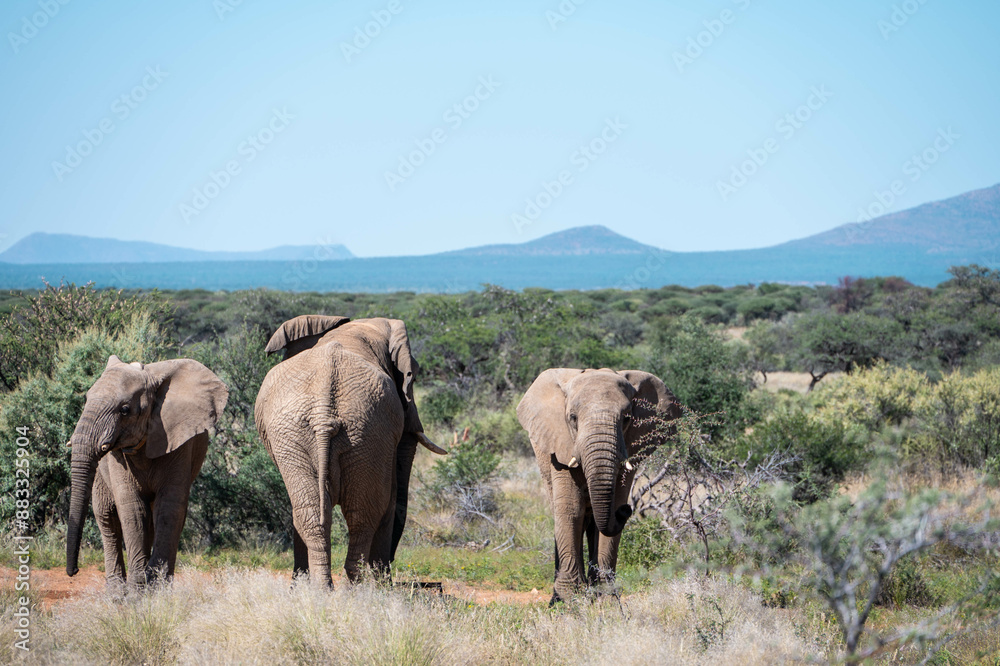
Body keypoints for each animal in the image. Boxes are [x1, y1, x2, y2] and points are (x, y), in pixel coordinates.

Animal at [65, 355, 228, 587]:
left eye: (125, 410)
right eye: (86, 400)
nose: (74, 571)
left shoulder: (179, 442)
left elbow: (169, 508)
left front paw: (156, 585)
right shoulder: (117, 459)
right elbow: (132, 509)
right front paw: (139, 588)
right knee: (107, 518)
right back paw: (116, 591)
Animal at [257, 315, 445, 586]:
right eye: (414, 376)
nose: (391, 566)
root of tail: (324, 412)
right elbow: (388, 501)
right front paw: (382, 587)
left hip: (318, 435)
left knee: (315, 514)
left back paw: (322, 590)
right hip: (356, 431)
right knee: (364, 514)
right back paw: (356, 591)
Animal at [517, 368, 679, 603]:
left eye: (627, 418)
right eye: (573, 418)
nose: (627, 510)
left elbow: (610, 508)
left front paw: (607, 598)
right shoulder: (561, 445)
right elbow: (570, 509)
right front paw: (568, 600)